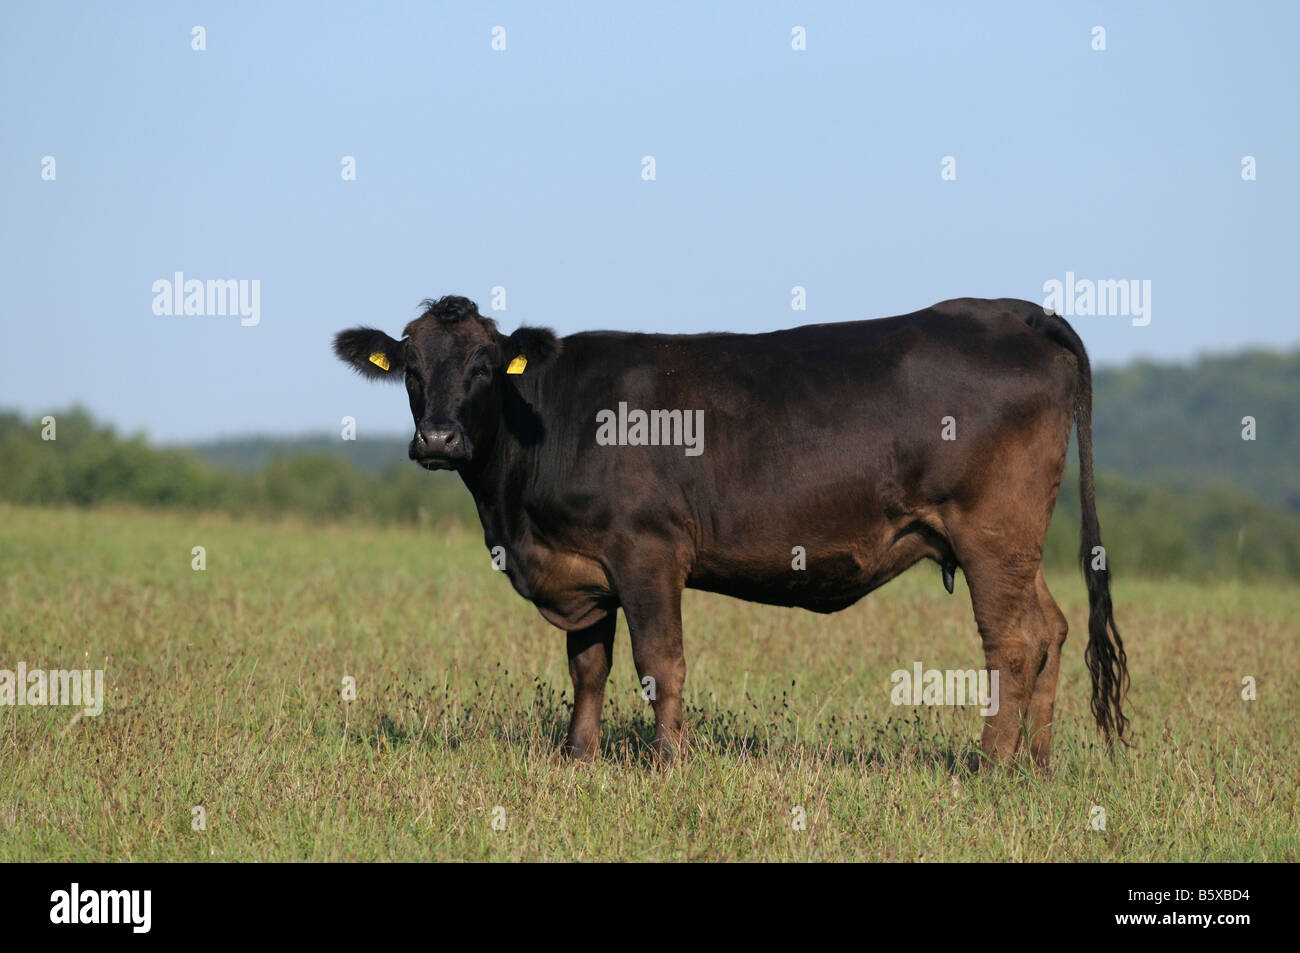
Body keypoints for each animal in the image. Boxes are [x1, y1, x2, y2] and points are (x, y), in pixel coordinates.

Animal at [335, 295, 1128, 764]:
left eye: (485, 365)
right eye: (409, 365)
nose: (438, 439)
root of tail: (1011, 310)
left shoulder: (646, 550)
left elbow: (660, 661)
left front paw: (666, 763)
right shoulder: (584, 568)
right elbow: (588, 665)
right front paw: (578, 756)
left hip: (989, 529)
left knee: (1013, 641)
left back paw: (986, 767)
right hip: (1017, 540)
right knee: (1051, 628)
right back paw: (1034, 766)